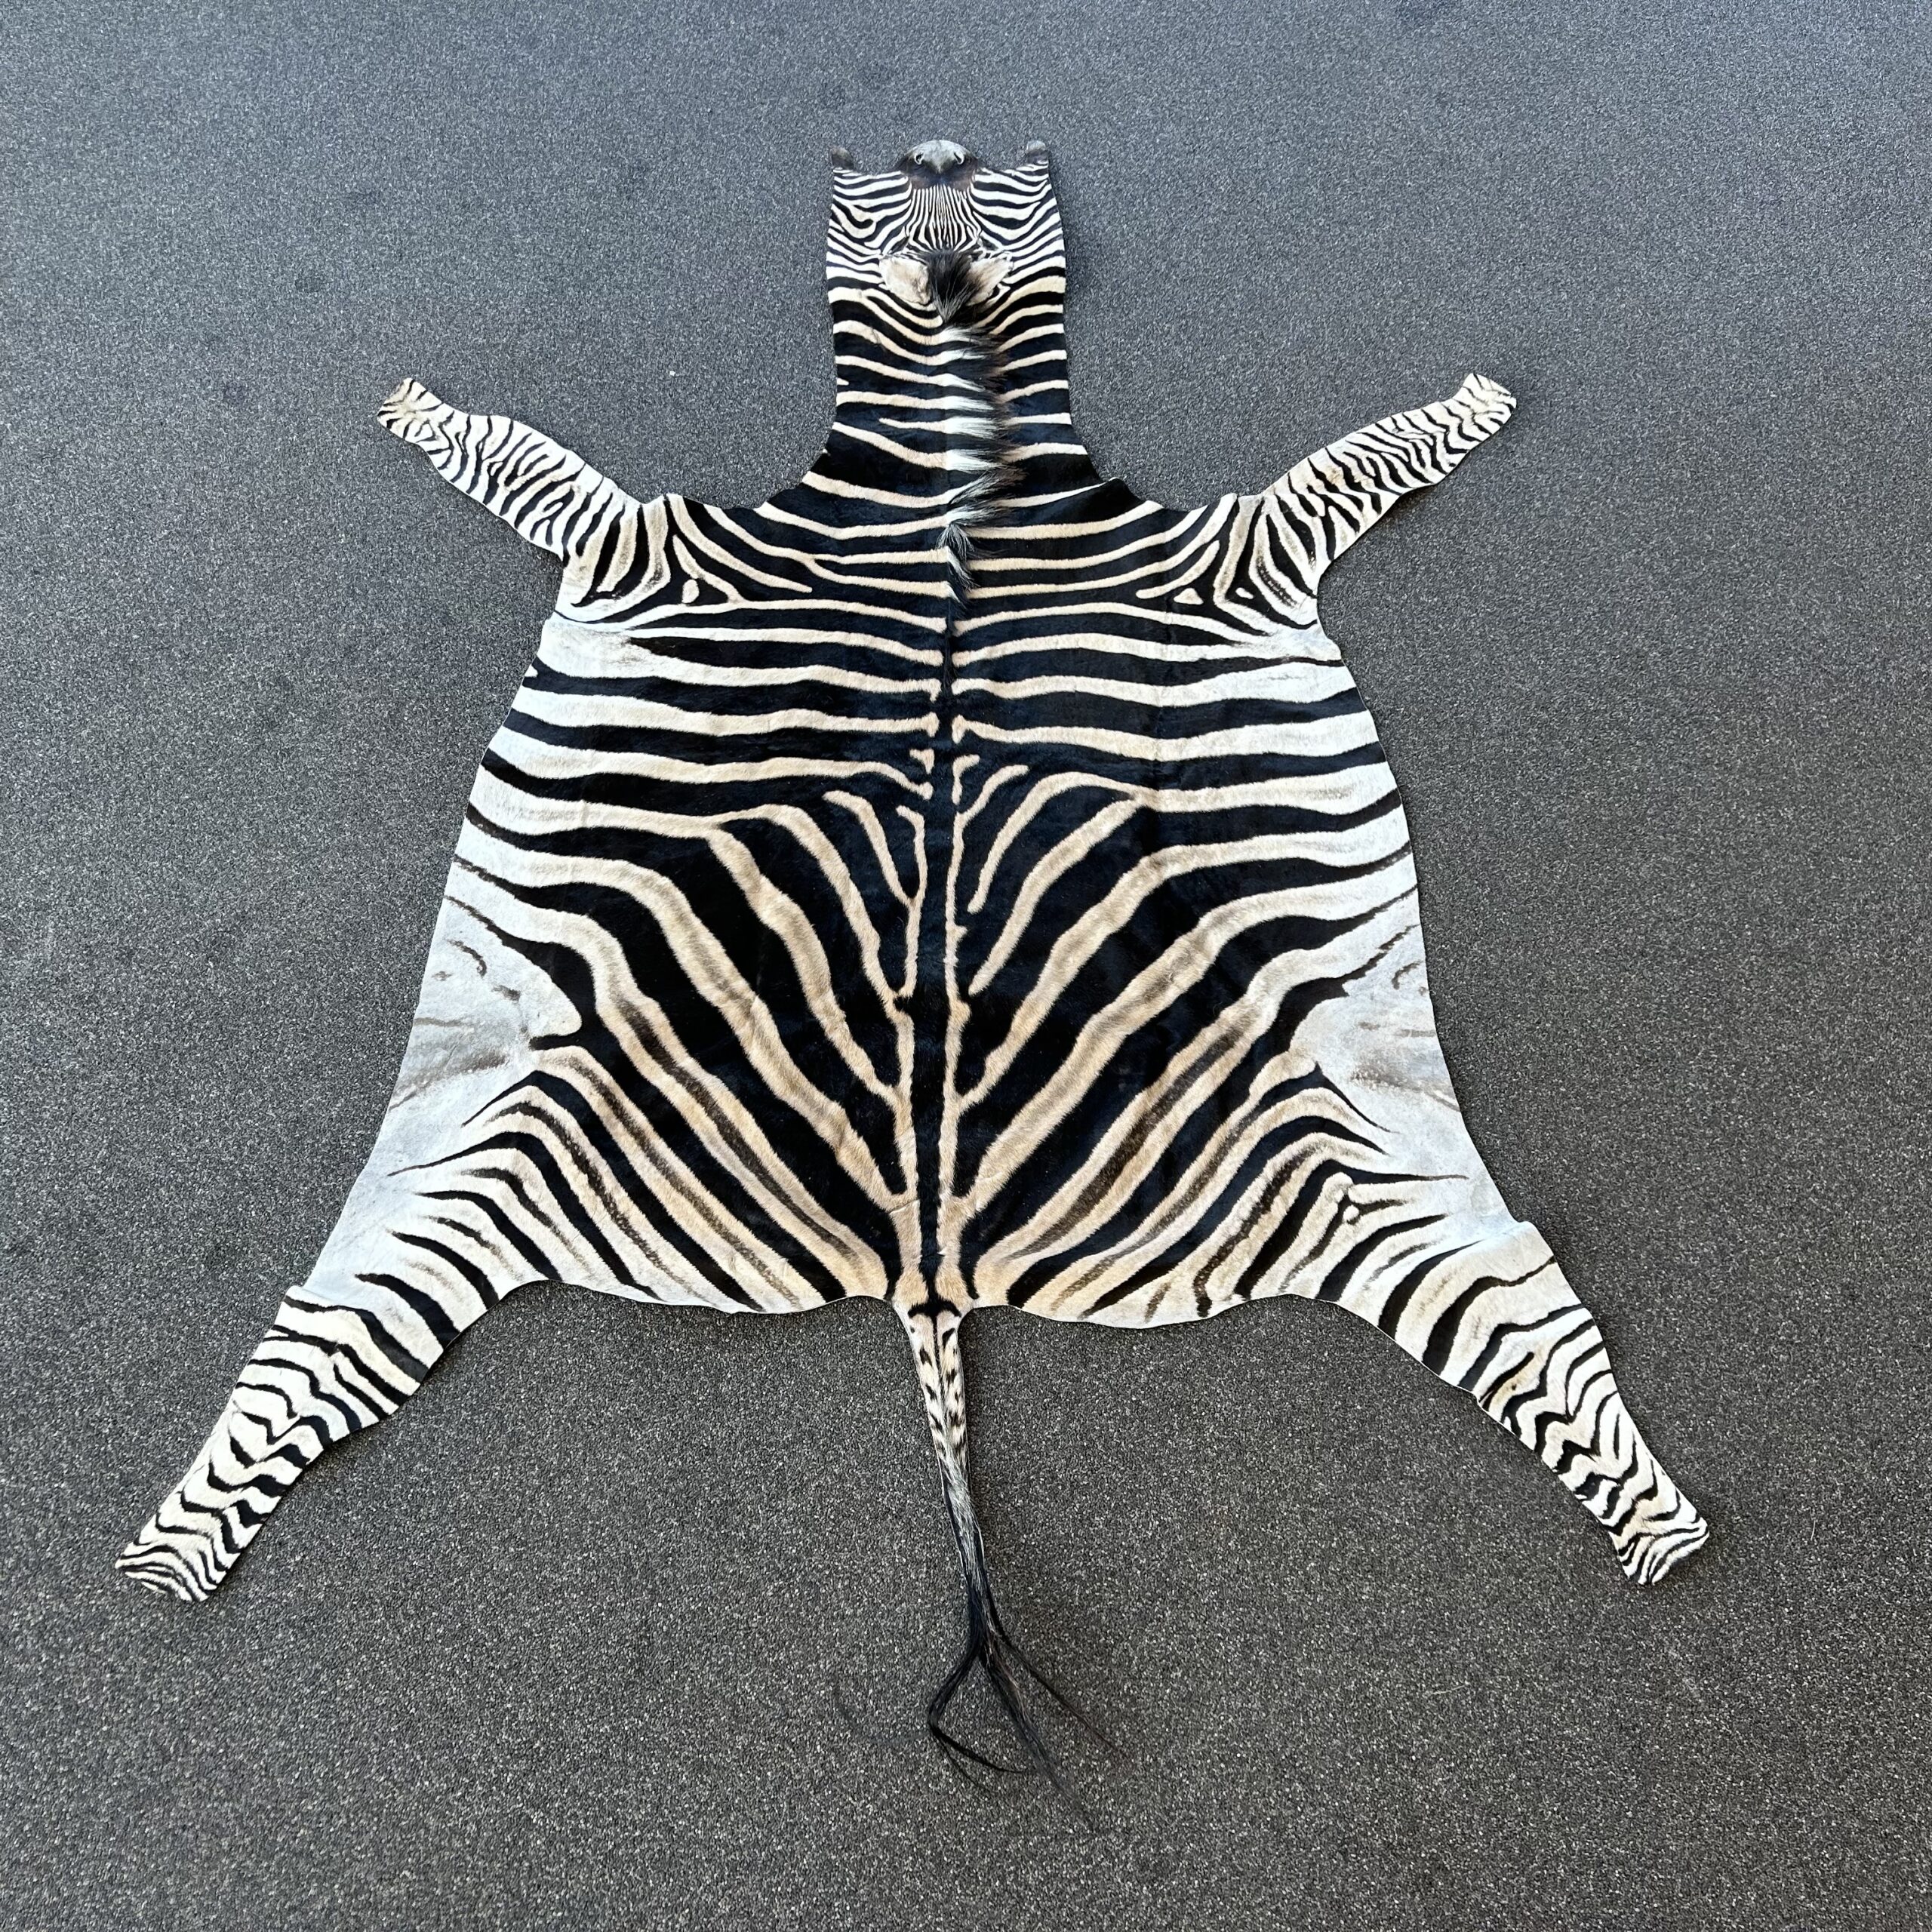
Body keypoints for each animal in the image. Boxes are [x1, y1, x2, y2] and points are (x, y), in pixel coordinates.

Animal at [120, 138, 1709, 1776]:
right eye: (895, 191)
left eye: (990, 188)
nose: (938, 146)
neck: (954, 461)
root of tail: (928, 1262)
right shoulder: (645, 545)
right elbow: (512, 452)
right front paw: (417, 409)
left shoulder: (1233, 548)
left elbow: (1371, 452)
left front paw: (1475, 401)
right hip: (499, 1116)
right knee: (328, 1339)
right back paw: (168, 1553)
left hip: (1346, 1122)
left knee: (1522, 1308)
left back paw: (1662, 1527)